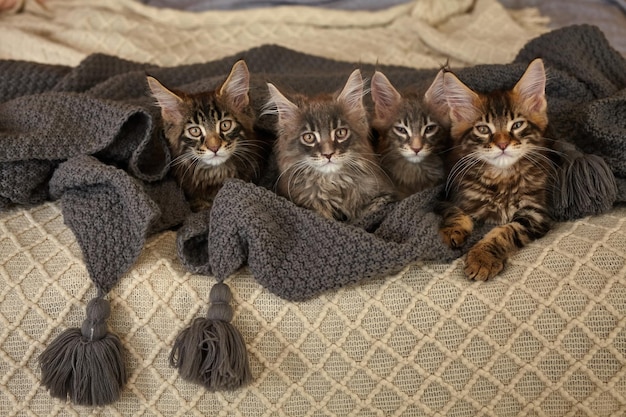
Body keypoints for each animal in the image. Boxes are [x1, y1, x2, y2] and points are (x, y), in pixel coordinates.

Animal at [434, 58, 552, 280]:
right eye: (483, 129)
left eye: (517, 125)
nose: (503, 144)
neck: (502, 178)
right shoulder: (447, 196)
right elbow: (456, 213)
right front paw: (451, 232)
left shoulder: (536, 212)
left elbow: (505, 231)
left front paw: (482, 258)